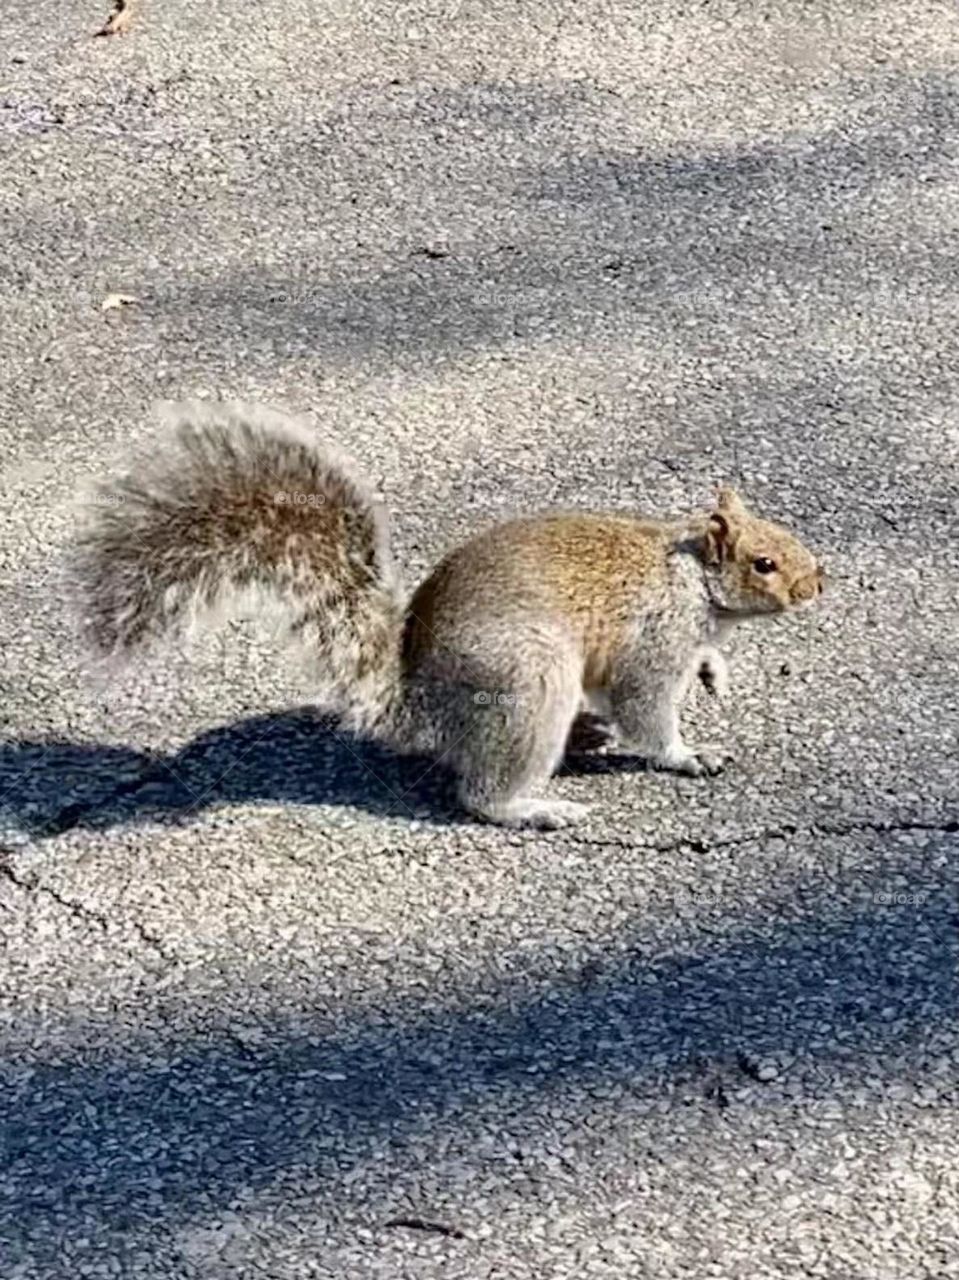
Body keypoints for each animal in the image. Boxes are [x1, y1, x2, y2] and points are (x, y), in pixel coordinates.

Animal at [68, 400, 824, 830]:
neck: (690, 577)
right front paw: (689, 755)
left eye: (787, 536)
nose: (818, 583)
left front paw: (715, 671)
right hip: (527, 680)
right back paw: (535, 806)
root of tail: (418, 706)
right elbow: (646, 710)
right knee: (479, 795)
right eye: (763, 562)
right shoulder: (654, 639)